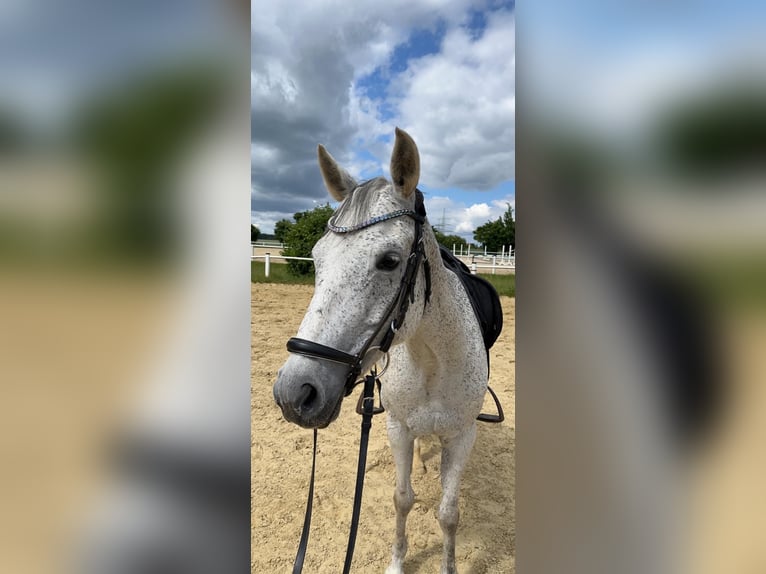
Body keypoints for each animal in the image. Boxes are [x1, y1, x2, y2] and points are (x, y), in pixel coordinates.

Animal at [276, 128, 488, 572]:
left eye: (390, 260)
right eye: (317, 258)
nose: (294, 393)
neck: (432, 361)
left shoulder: (463, 435)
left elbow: (449, 513)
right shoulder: (397, 428)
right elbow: (402, 499)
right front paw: (396, 562)